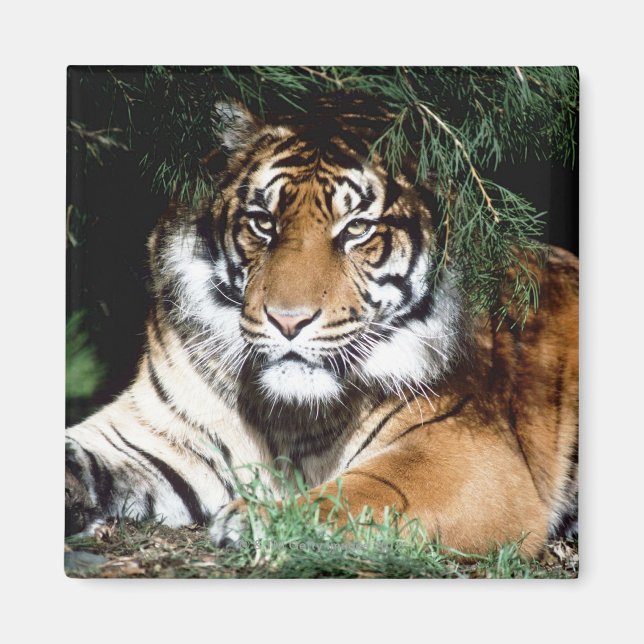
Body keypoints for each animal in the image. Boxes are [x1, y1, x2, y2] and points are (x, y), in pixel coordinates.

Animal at [65, 93, 578, 557]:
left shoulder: (466, 456)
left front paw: (256, 521)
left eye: (356, 229)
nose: (288, 321)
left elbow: (363, 493)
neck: (286, 416)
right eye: (263, 222)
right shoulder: (154, 432)